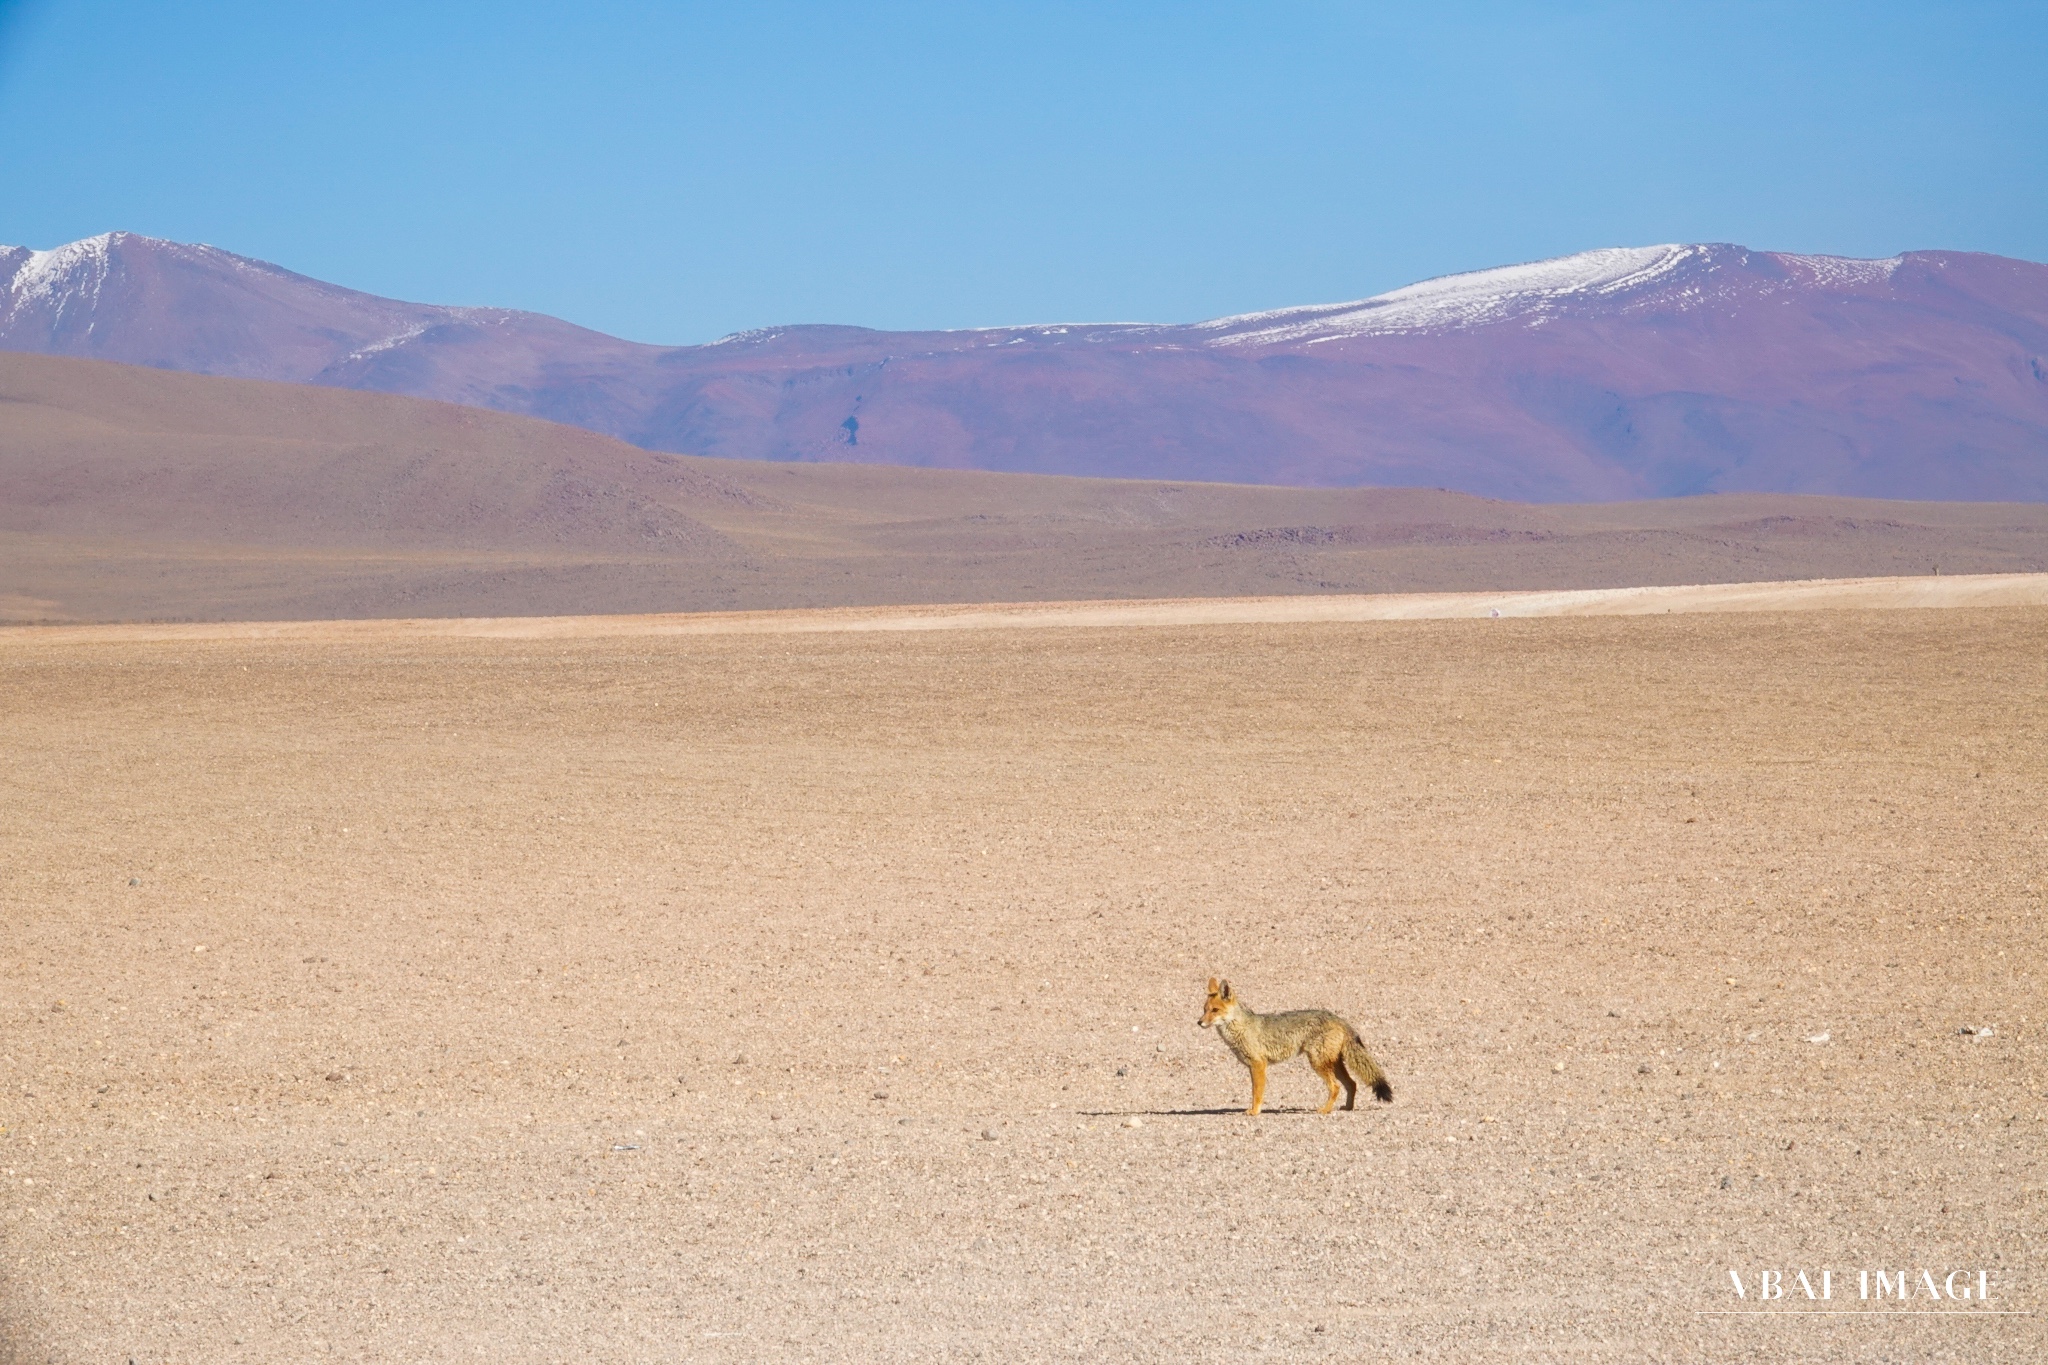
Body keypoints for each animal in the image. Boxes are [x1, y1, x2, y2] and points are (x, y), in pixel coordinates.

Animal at [1196, 982, 1392, 1121]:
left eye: (1215, 1010)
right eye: (1204, 1010)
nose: (1199, 1023)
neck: (1242, 1027)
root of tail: (1339, 1018)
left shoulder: (1258, 1065)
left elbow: (1256, 1093)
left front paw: (1254, 1111)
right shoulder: (1253, 1066)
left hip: (1318, 1063)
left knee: (1336, 1086)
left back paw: (1325, 1110)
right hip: (1333, 1064)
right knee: (1352, 1084)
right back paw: (1347, 1108)